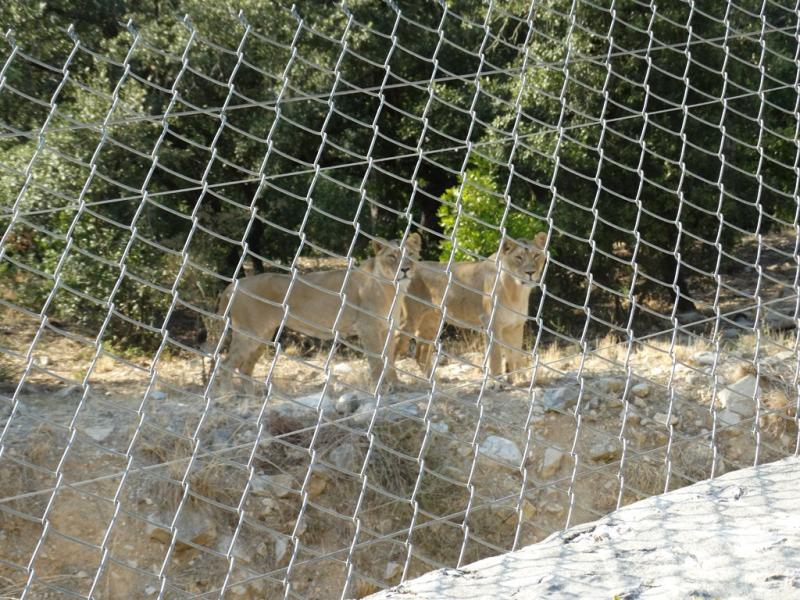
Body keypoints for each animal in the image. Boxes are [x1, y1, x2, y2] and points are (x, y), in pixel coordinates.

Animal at [212, 233, 422, 391]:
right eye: (392, 257)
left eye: (411, 254)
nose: (405, 269)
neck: (394, 290)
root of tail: (235, 284)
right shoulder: (368, 329)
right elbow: (377, 361)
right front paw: (380, 388)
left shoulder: (388, 329)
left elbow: (390, 360)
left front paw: (396, 384)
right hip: (249, 333)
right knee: (226, 365)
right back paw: (227, 396)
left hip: (263, 335)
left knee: (245, 368)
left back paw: (250, 398)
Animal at [396, 232, 547, 383]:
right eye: (518, 257)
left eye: (536, 255)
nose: (530, 272)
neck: (517, 290)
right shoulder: (492, 324)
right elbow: (495, 356)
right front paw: (495, 382)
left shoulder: (515, 326)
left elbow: (516, 355)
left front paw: (521, 380)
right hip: (410, 318)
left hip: (431, 322)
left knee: (420, 354)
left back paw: (436, 380)